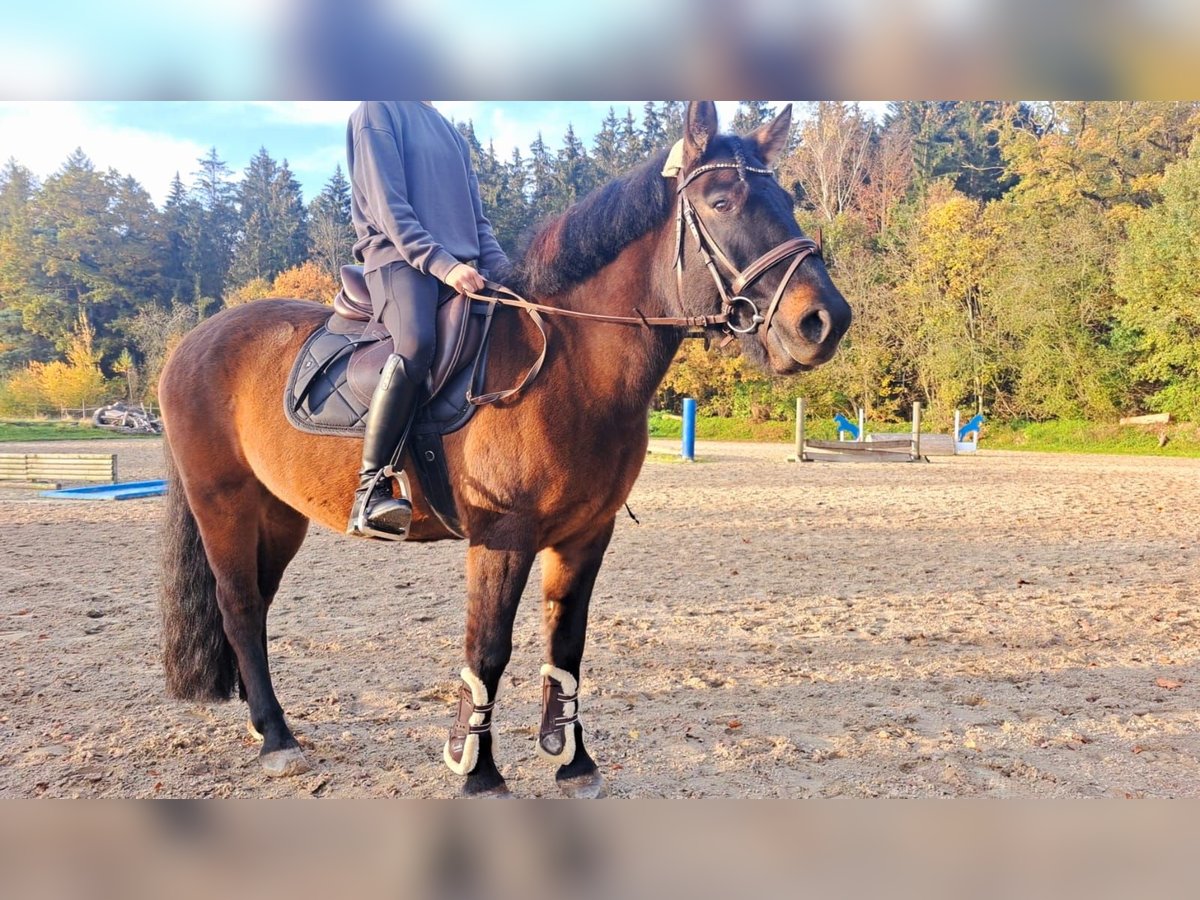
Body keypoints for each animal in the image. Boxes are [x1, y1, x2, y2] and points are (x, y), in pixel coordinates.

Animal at [159, 102, 854, 801]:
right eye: (720, 201)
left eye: (787, 200)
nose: (825, 321)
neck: (572, 364)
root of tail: (193, 342)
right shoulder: (502, 537)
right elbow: (488, 651)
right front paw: (478, 770)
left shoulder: (585, 535)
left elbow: (566, 647)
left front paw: (574, 761)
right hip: (224, 504)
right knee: (240, 607)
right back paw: (278, 740)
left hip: (279, 514)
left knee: (256, 607)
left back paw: (263, 723)